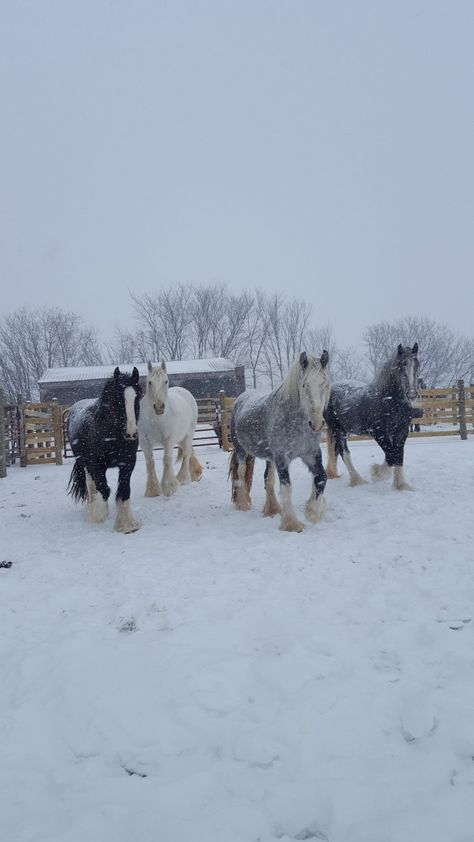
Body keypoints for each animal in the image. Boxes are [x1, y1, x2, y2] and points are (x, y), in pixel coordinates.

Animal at [67, 366, 143, 532]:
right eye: (118, 399)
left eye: (137, 398)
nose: (131, 434)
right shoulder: (96, 465)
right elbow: (104, 489)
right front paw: (98, 516)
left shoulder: (128, 463)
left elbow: (124, 490)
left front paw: (127, 524)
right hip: (85, 465)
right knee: (91, 486)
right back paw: (92, 510)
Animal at [138, 360, 203, 492]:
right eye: (150, 382)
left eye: (166, 381)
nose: (159, 407)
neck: (155, 419)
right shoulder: (144, 442)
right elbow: (150, 463)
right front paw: (153, 490)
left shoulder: (168, 439)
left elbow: (167, 459)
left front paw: (169, 487)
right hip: (180, 438)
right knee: (188, 451)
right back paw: (194, 474)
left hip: (188, 434)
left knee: (187, 452)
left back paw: (183, 478)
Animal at [229, 350, 330, 532]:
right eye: (304, 385)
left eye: (324, 384)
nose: (317, 424)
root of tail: (241, 398)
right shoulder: (282, 457)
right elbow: (287, 487)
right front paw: (292, 524)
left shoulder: (311, 453)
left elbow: (321, 477)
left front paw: (312, 512)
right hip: (241, 450)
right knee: (240, 473)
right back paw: (243, 503)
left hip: (270, 457)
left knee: (268, 479)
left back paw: (272, 509)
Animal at [326, 340, 422, 488]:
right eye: (400, 366)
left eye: (417, 364)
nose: (411, 395)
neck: (387, 400)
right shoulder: (379, 433)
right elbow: (391, 455)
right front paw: (378, 474)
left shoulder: (401, 431)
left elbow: (398, 455)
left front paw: (400, 484)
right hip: (338, 430)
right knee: (344, 453)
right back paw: (357, 480)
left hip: (345, 431)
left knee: (337, 451)